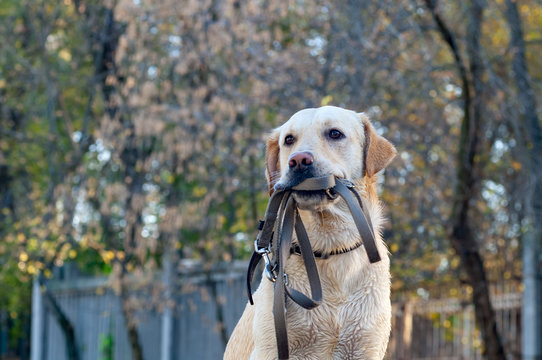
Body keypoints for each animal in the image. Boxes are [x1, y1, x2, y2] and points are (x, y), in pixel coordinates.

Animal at [225, 106, 400, 360]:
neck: (329, 247)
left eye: (335, 133)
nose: (298, 161)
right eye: (289, 140)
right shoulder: (270, 349)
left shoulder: (365, 348)